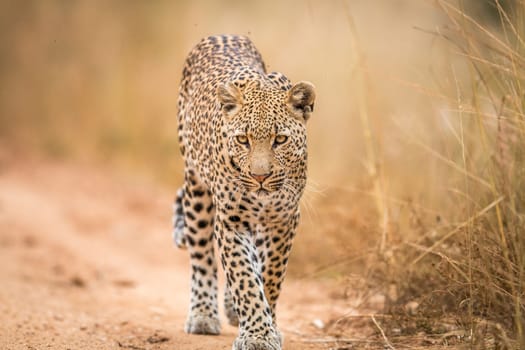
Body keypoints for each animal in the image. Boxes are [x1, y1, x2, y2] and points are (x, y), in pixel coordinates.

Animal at [172, 33, 314, 350]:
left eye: (280, 139)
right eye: (242, 140)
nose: (260, 176)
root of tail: (222, 34)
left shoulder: (284, 219)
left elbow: (270, 275)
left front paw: (267, 327)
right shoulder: (231, 221)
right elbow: (244, 277)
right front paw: (257, 335)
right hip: (196, 187)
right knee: (202, 257)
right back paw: (203, 315)